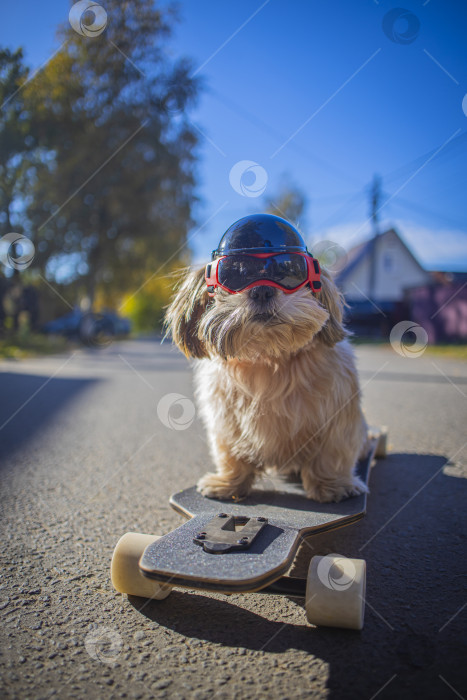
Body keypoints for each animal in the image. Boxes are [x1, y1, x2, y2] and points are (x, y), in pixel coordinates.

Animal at [165, 215, 370, 504]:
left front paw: (332, 485)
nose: (262, 290)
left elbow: (332, 452)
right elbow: (230, 453)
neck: (267, 358)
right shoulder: (225, 421)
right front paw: (228, 483)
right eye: (235, 273)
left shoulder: (338, 415)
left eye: (288, 270)